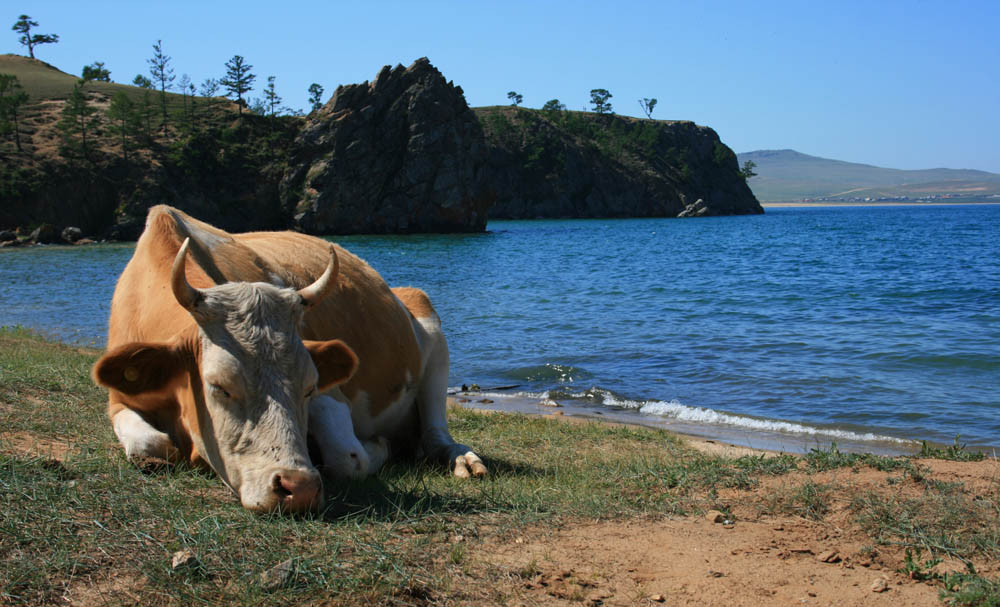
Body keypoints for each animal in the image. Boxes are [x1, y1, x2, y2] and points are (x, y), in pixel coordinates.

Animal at [92, 205, 486, 512]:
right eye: (219, 386)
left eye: (309, 387)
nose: (299, 489)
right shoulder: (118, 399)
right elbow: (152, 445)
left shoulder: (331, 394)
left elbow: (350, 458)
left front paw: (377, 447)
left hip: (430, 328)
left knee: (434, 434)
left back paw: (463, 459)